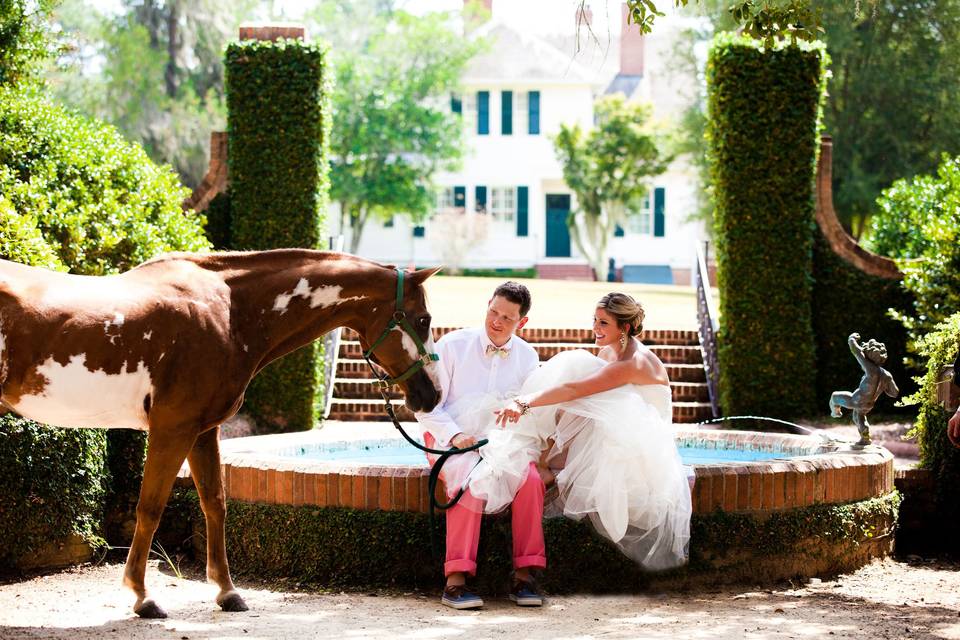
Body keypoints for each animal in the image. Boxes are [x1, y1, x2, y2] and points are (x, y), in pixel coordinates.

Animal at [0, 249, 442, 616]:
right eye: (424, 320)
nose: (432, 395)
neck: (227, 312)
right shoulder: (173, 428)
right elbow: (151, 508)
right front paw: (143, 597)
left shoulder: (202, 431)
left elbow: (215, 503)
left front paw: (227, 592)